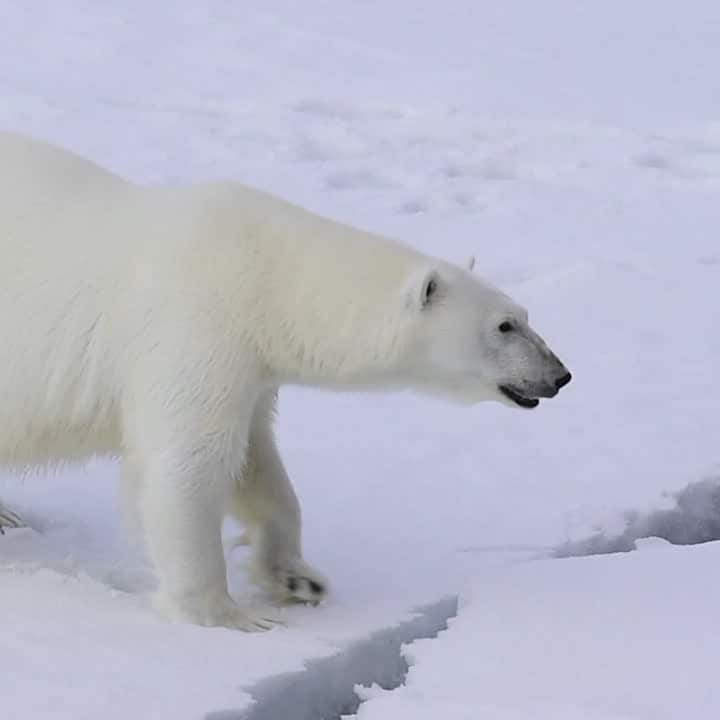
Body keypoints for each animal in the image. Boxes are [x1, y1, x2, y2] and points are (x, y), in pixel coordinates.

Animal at [1, 134, 572, 632]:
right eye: (505, 326)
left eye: (524, 314)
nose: (559, 375)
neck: (266, 277)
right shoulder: (195, 331)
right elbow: (190, 464)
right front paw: (228, 615)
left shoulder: (252, 368)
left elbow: (256, 463)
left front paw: (299, 579)